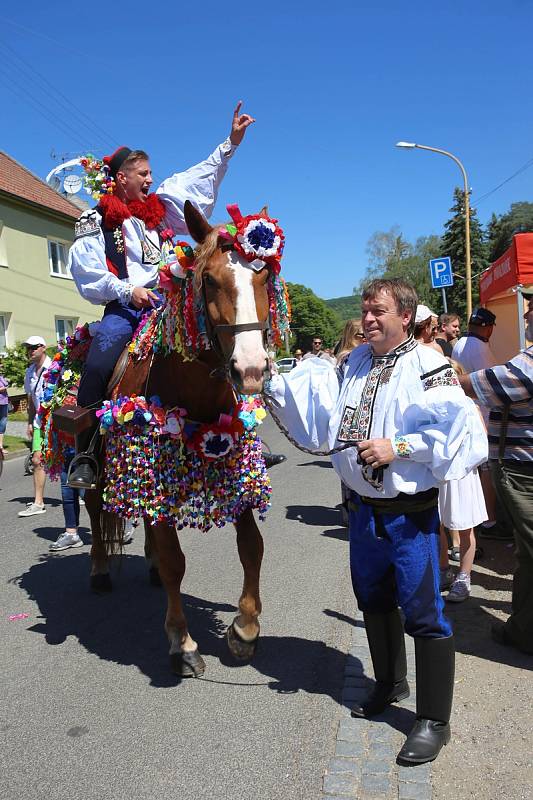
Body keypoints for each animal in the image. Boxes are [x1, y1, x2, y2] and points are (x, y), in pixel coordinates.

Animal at [84, 202, 274, 676]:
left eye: (264, 277)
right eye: (210, 280)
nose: (251, 370)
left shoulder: (232, 465)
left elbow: (252, 547)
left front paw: (245, 628)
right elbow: (175, 563)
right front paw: (182, 642)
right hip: (97, 467)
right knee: (95, 512)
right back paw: (99, 570)